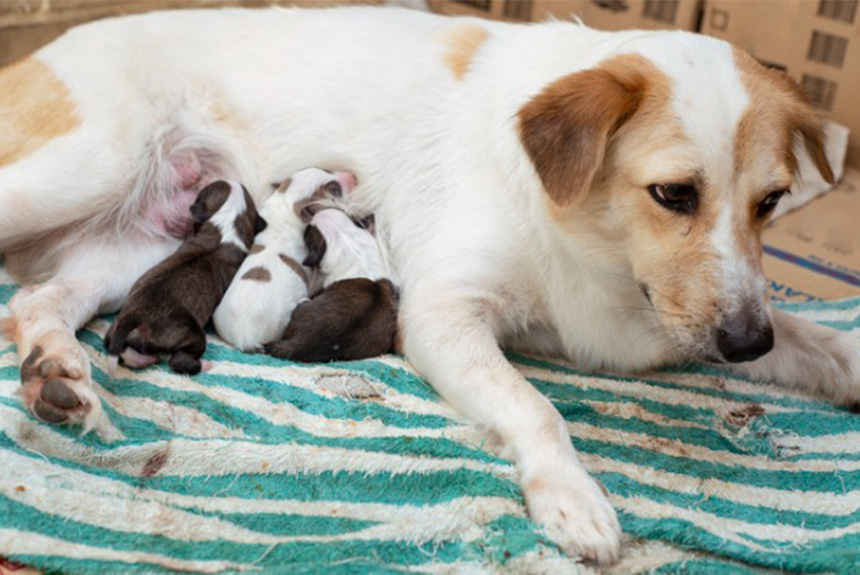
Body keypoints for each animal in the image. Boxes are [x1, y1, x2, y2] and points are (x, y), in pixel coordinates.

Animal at [105, 182, 266, 376]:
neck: (225, 226)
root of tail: (132, 316)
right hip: (191, 333)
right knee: (179, 361)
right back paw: (204, 365)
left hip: (115, 327)